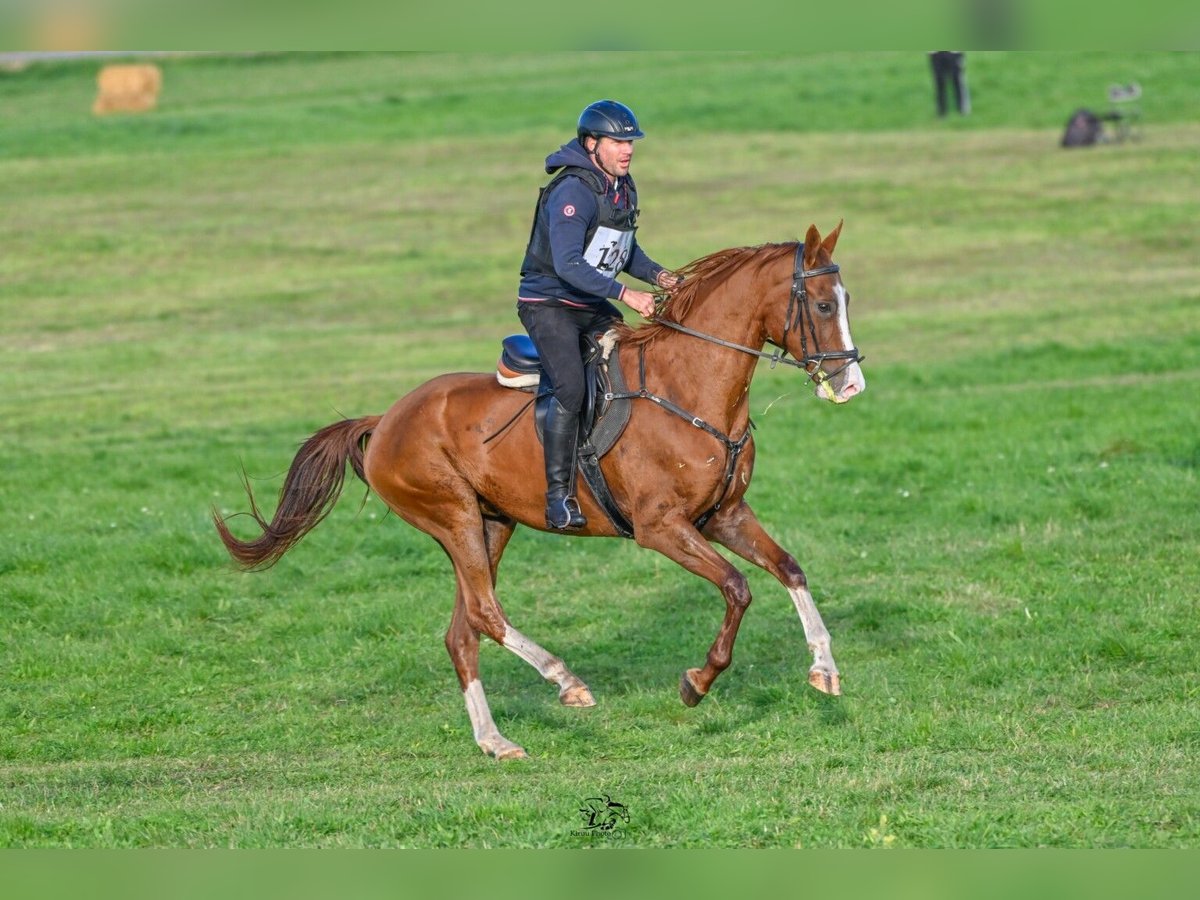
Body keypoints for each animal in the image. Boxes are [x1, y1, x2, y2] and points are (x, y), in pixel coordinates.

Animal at [216, 222, 868, 758]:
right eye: (820, 303)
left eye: (845, 300)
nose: (851, 383)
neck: (690, 387)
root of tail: (386, 420)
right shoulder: (661, 528)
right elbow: (737, 588)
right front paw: (697, 683)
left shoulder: (724, 515)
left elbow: (789, 569)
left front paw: (824, 668)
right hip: (453, 516)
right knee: (485, 613)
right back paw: (566, 682)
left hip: (491, 523)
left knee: (463, 631)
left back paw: (495, 741)